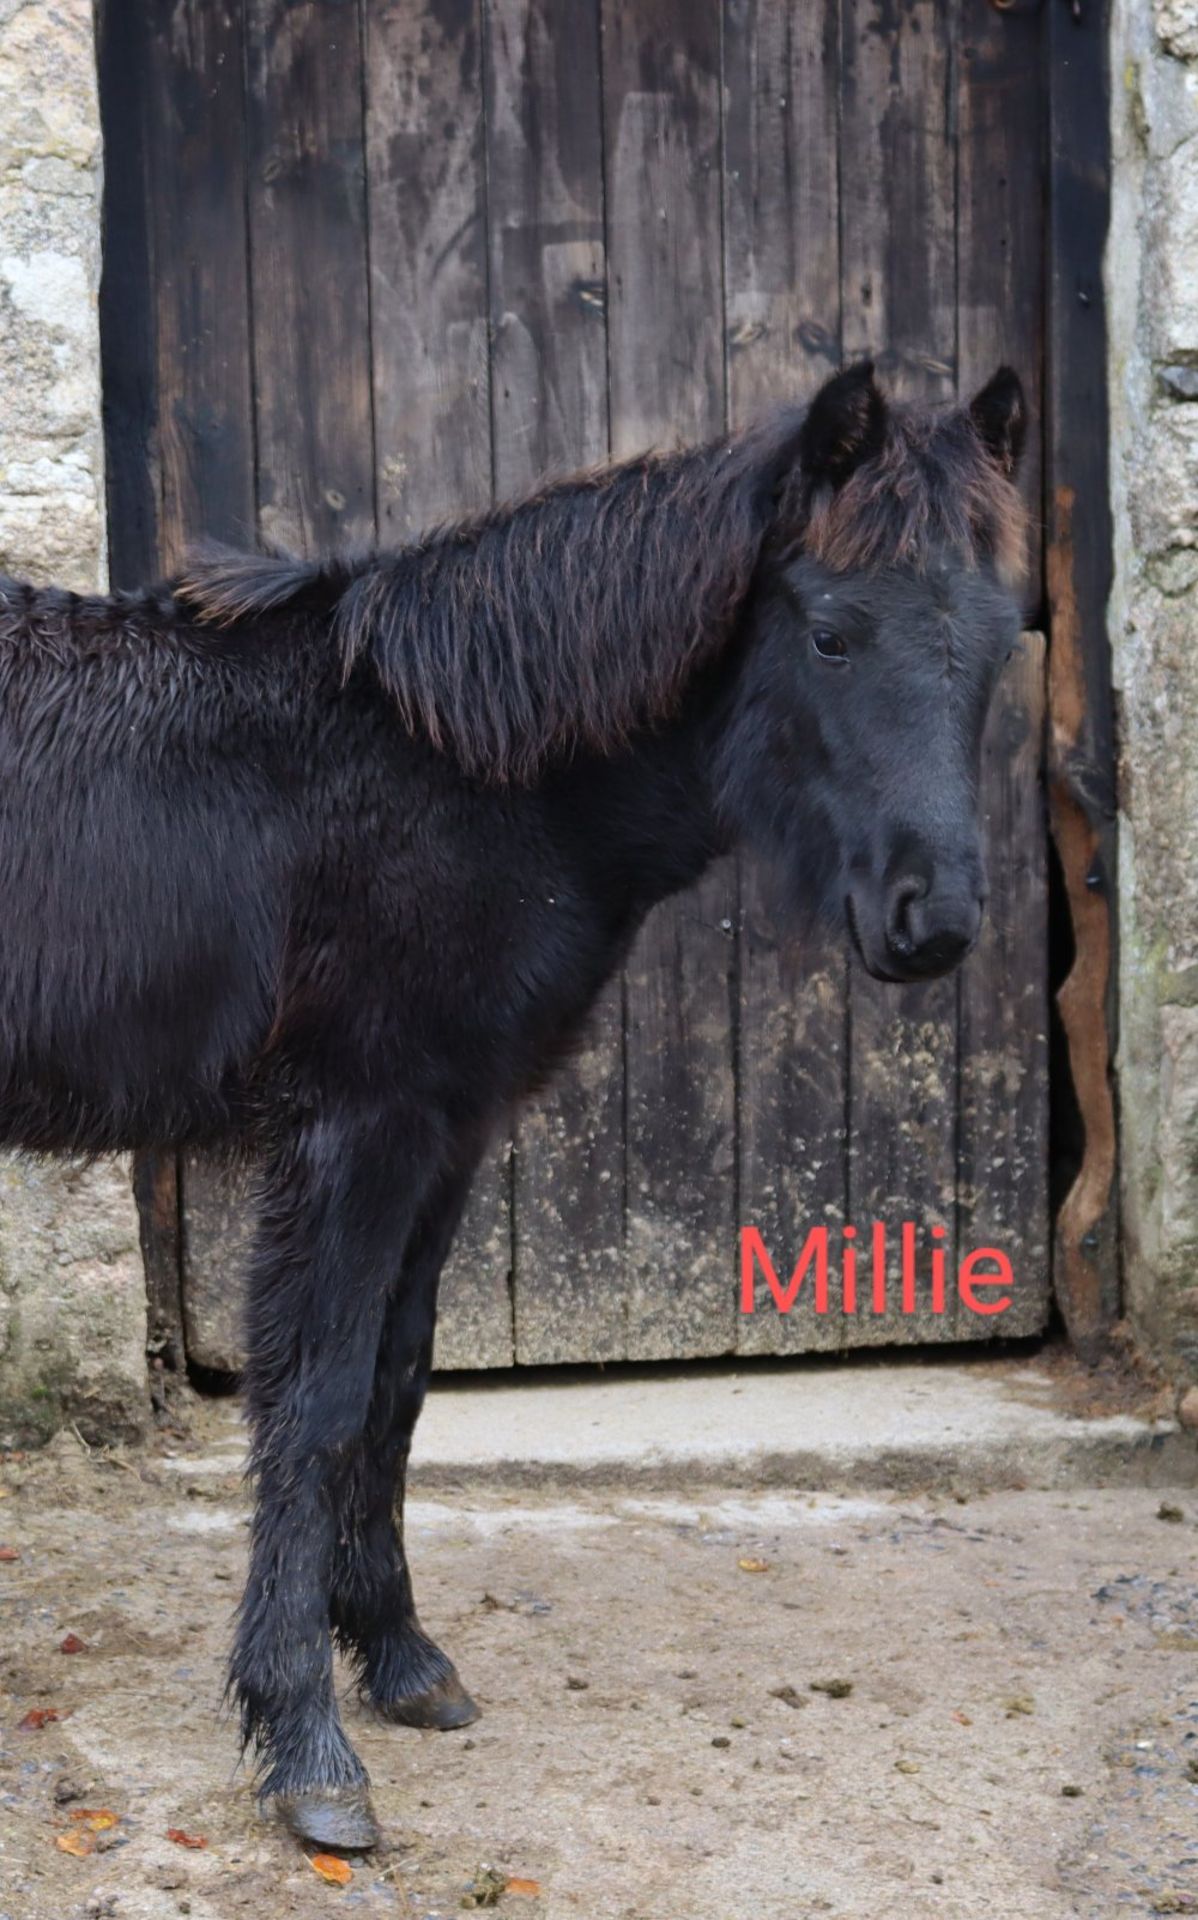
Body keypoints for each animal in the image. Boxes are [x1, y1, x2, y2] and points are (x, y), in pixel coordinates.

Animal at [0, 360, 1029, 1843]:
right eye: (832, 635)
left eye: (1005, 643)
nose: (930, 923)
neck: (464, 767)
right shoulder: (357, 1131)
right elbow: (315, 1405)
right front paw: (305, 1743)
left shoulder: (447, 1132)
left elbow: (394, 1389)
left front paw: (398, 1657)